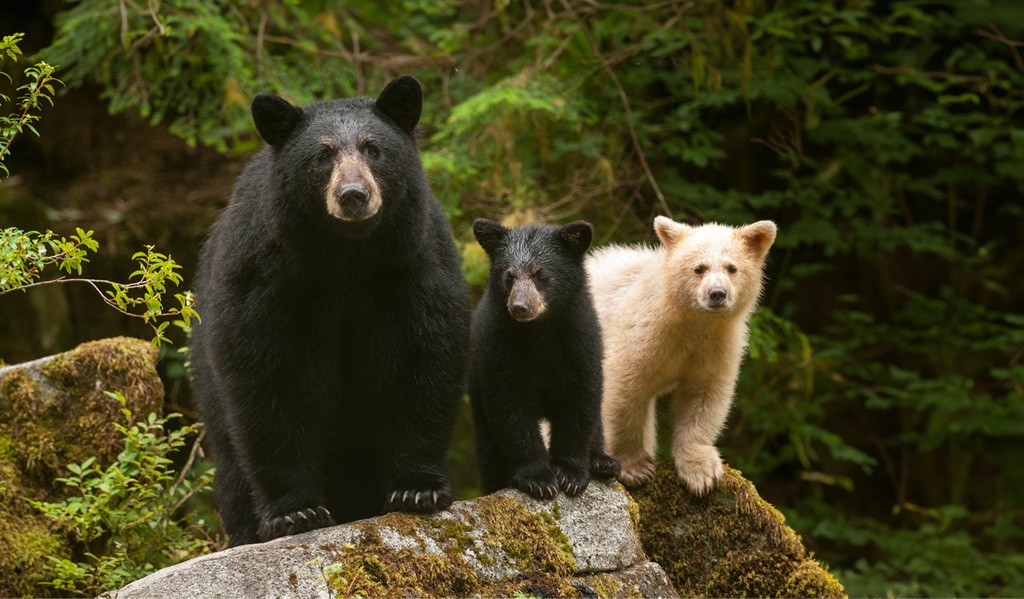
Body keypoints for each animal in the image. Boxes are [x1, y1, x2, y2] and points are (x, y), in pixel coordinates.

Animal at [189, 76, 471, 546]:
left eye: (373, 148)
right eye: (322, 155)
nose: (353, 195)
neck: (346, 257)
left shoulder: (412, 267)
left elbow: (423, 360)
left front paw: (418, 490)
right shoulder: (267, 280)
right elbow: (268, 379)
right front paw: (295, 513)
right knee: (229, 463)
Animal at [468, 218, 619, 500]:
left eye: (540, 274)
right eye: (509, 275)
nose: (519, 307)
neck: (540, 331)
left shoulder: (581, 340)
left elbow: (579, 401)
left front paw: (570, 474)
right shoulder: (499, 347)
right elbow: (510, 408)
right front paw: (538, 479)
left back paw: (602, 462)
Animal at [585, 216, 776, 495]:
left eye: (732, 268)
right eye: (699, 269)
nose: (717, 293)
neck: (690, 321)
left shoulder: (715, 345)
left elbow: (704, 394)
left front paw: (701, 473)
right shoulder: (642, 333)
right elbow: (624, 388)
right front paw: (635, 468)